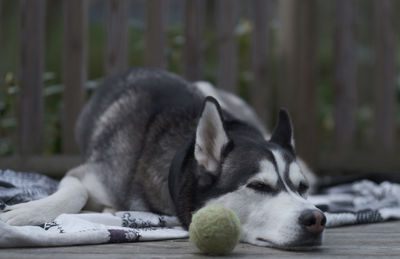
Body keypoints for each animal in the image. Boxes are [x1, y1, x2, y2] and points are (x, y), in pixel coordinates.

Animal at [0, 69, 324, 250]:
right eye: (258, 186)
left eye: (302, 188)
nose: (316, 219)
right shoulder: (86, 173)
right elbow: (76, 191)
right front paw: (23, 213)